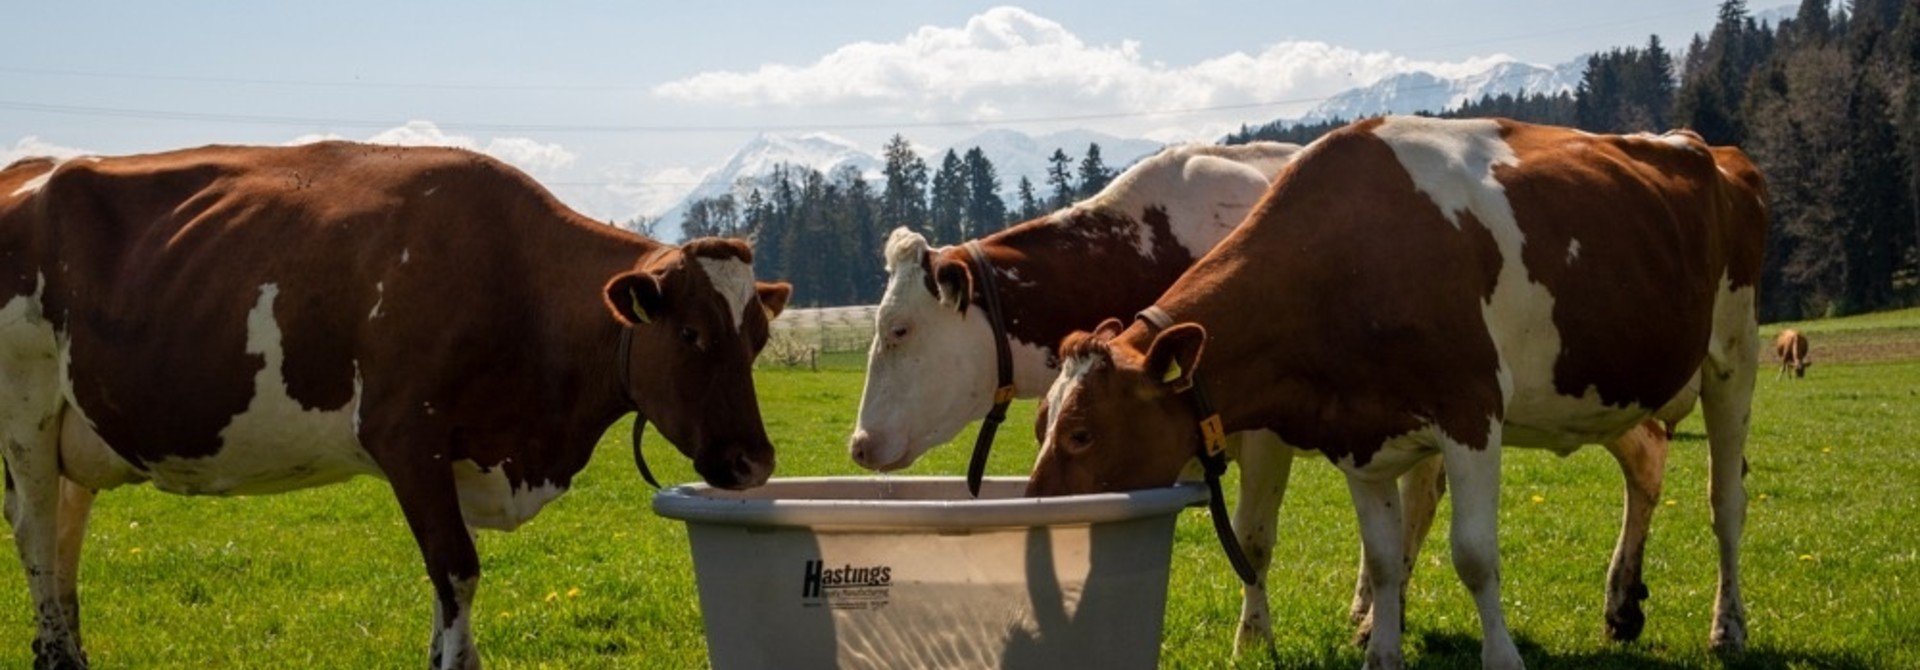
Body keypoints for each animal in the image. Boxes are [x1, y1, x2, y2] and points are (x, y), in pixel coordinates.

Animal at [0, 142, 794, 668]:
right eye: (691, 334)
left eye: (757, 337)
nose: (753, 462)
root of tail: (31, 168)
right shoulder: (408, 439)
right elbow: (457, 573)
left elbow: (443, 592)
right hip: (25, 415)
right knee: (36, 537)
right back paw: (58, 654)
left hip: (76, 432)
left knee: (63, 542)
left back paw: (66, 653)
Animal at [848, 139, 1689, 652]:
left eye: (898, 329)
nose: (857, 444)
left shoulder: (1260, 430)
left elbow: (1251, 538)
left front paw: (1252, 638)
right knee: (1425, 490)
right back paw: (1376, 609)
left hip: (1576, 381)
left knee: (1646, 452)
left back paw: (1622, 601)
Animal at [1036, 116, 1766, 668]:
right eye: (1041, 422)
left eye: (1081, 432)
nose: (1037, 510)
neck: (1348, 260)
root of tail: (1707, 147)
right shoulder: (1358, 430)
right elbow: (1385, 560)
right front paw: (1380, 653)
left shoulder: (1471, 410)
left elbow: (1474, 555)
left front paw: (1502, 658)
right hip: (1608, 386)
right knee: (1646, 461)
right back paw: (1621, 605)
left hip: (1734, 354)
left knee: (1726, 502)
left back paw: (1727, 627)